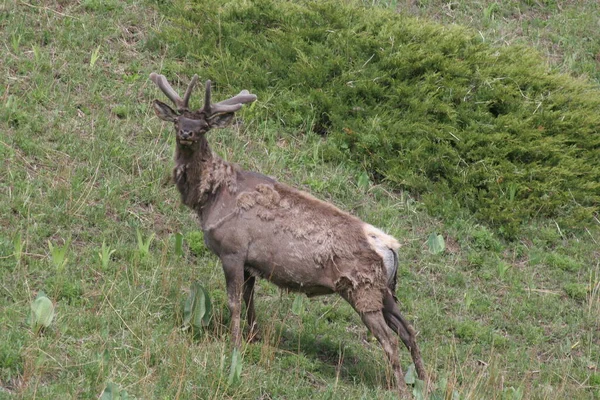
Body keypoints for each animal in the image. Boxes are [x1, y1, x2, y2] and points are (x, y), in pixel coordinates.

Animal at [148, 72, 424, 396]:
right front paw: (253, 337)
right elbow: (250, 302)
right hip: (386, 291)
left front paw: (235, 345)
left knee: (390, 340)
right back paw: (425, 381)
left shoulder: (232, 250)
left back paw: (403, 388)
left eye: (204, 126)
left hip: (363, 290)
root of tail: (391, 248)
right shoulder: (251, 263)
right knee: (409, 330)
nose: (187, 133)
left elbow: (234, 303)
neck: (210, 196)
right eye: (178, 120)